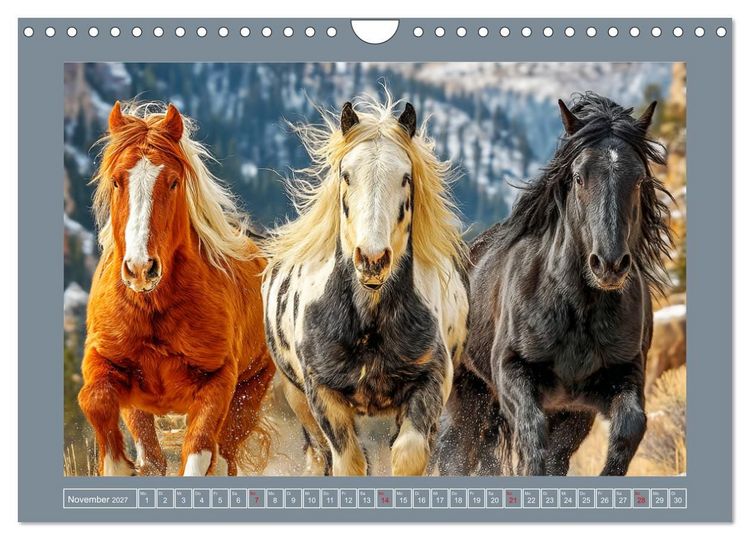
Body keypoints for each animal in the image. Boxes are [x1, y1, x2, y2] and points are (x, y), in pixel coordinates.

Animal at [78, 101, 275, 476]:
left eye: (172, 181)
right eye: (116, 181)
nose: (141, 268)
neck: (153, 307)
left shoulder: (217, 382)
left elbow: (199, 452)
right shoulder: (105, 361)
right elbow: (95, 402)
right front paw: (120, 466)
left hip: (249, 393)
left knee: (224, 456)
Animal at [262, 95, 470, 476]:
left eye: (405, 177)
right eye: (346, 175)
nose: (372, 259)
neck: (368, 321)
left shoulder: (431, 381)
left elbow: (409, 454)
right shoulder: (321, 393)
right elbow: (349, 462)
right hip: (296, 398)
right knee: (319, 455)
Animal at [434, 93, 674, 476]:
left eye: (638, 179)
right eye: (578, 178)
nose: (609, 265)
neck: (578, 310)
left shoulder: (614, 384)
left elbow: (629, 431)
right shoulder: (512, 373)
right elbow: (533, 440)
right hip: (468, 393)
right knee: (455, 453)